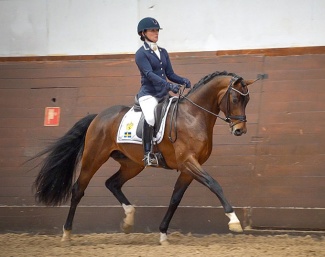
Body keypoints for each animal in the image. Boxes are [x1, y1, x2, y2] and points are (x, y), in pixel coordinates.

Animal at [32, 70, 256, 244]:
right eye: (235, 99)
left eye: (247, 100)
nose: (240, 130)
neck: (193, 116)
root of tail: (98, 117)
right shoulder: (188, 162)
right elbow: (214, 184)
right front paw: (234, 220)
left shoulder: (188, 168)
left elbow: (175, 198)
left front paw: (163, 234)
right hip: (93, 158)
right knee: (78, 189)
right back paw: (67, 233)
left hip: (132, 164)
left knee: (112, 183)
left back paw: (128, 220)